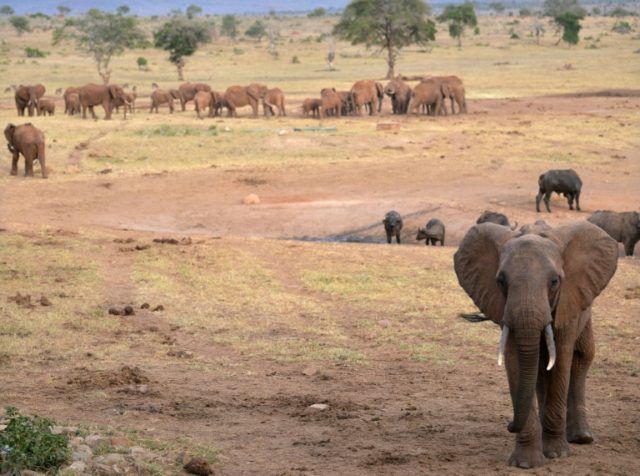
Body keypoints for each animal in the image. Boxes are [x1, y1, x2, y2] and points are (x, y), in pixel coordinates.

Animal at [454, 221, 618, 469]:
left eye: (555, 282)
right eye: (500, 281)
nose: (509, 424)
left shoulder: (568, 300)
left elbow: (561, 360)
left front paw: (557, 453)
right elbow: (517, 362)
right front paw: (526, 463)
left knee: (582, 357)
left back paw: (581, 437)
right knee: (540, 369)